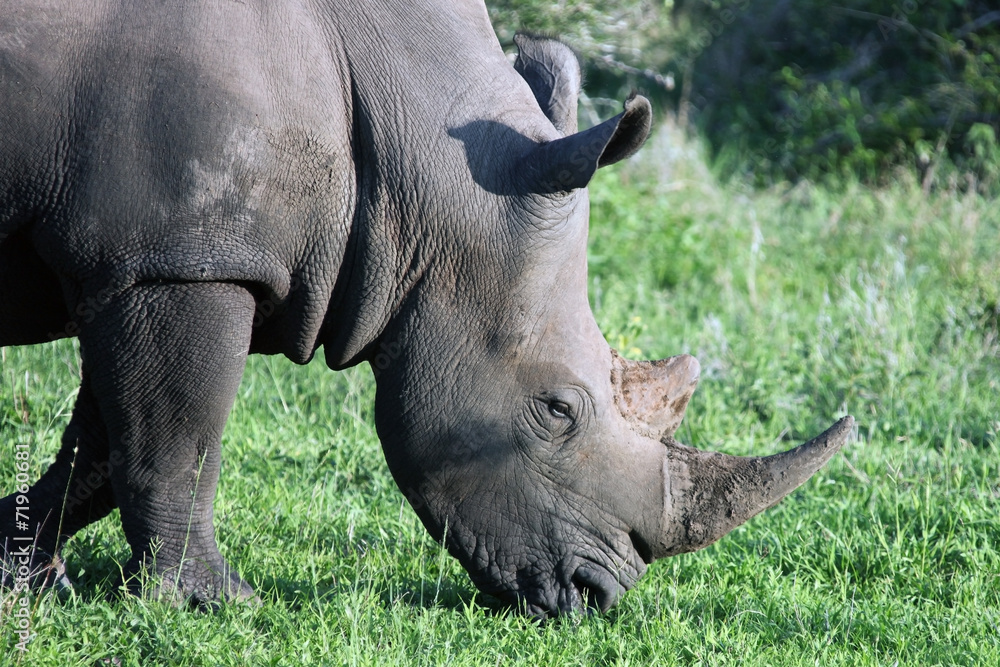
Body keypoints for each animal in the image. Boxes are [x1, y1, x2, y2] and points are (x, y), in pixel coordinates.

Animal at [0, 0, 852, 616]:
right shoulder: (185, 257)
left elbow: (105, 444)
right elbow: (178, 439)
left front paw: (25, 568)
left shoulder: (145, 258)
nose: (597, 595)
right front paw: (213, 603)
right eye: (557, 410)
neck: (424, 160)